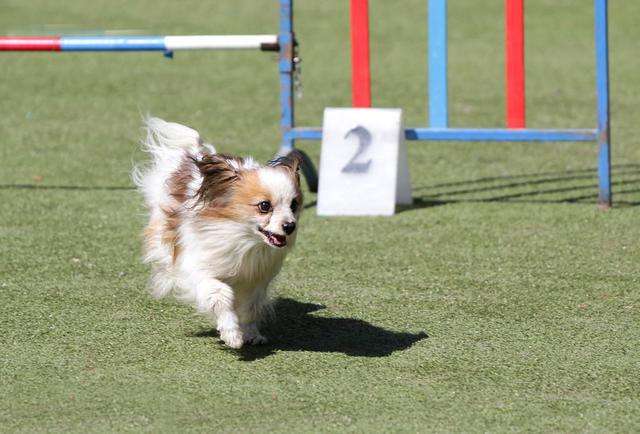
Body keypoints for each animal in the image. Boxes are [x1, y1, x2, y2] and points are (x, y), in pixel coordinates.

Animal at [132, 118, 302, 350]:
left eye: (293, 205)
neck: (241, 237)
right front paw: (232, 334)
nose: (290, 226)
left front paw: (251, 333)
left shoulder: (255, 280)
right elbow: (221, 296)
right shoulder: (199, 270)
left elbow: (250, 308)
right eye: (264, 206)